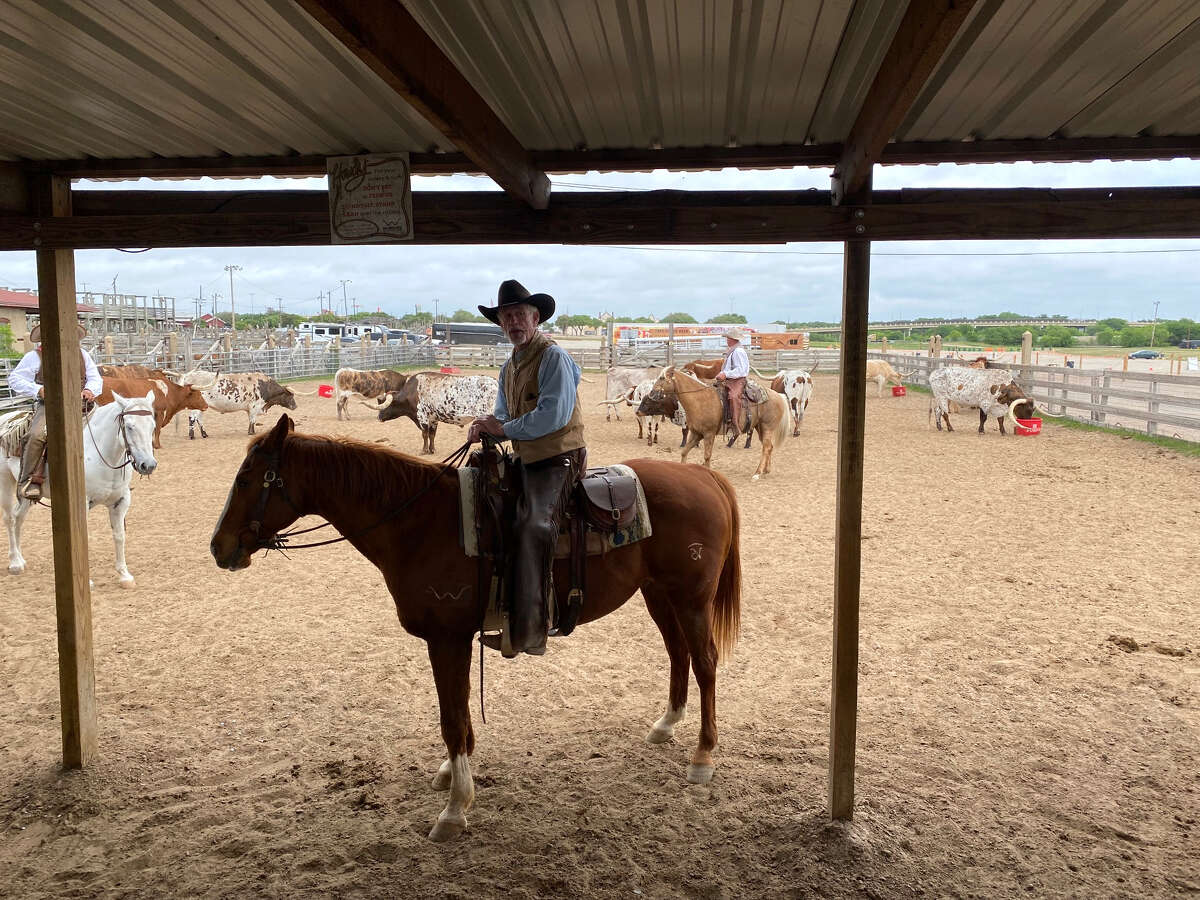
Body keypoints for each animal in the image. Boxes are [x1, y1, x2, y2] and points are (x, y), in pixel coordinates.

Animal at [1, 391, 159, 588]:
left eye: (152, 426)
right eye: (129, 427)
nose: (148, 465)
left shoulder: (121, 501)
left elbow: (119, 536)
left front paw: (124, 575)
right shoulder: (82, 503)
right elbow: (83, 539)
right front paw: (87, 581)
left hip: (27, 493)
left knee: (18, 518)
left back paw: (20, 559)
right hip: (5, 482)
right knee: (9, 518)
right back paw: (15, 562)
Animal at [213, 420, 739, 844]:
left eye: (245, 478)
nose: (218, 547)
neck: (419, 523)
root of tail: (704, 476)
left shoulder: (446, 638)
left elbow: (452, 718)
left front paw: (454, 809)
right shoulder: (453, 640)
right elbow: (461, 714)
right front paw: (453, 775)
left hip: (691, 598)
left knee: (705, 662)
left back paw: (703, 756)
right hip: (658, 595)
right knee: (678, 655)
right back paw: (666, 725)